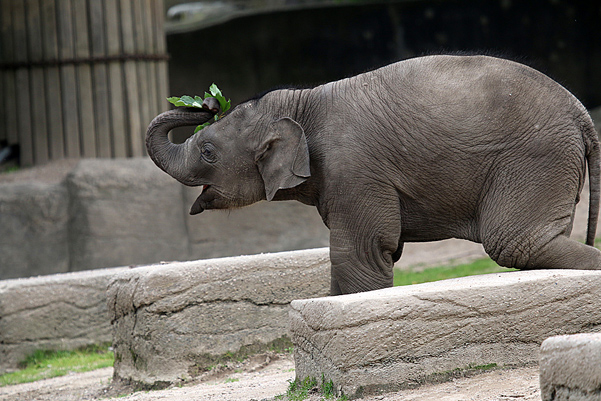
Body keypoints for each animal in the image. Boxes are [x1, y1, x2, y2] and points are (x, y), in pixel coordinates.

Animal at [146, 54, 600, 294]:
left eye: (207, 152)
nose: (207, 102)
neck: (301, 102)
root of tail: (581, 112)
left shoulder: (354, 168)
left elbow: (359, 252)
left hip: (534, 157)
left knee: (515, 242)